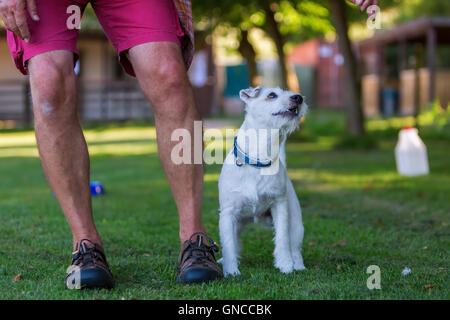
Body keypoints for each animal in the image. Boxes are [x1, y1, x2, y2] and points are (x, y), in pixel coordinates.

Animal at [217, 86, 308, 276]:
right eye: (271, 95)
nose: (298, 97)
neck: (259, 159)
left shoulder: (280, 206)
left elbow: (282, 239)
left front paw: (285, 265)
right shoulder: (228, 214)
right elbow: (228, 244)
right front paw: (231, 271)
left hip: (296, 223)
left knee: (295, 247)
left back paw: (298, 265)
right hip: (237, 223)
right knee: (235, 243)